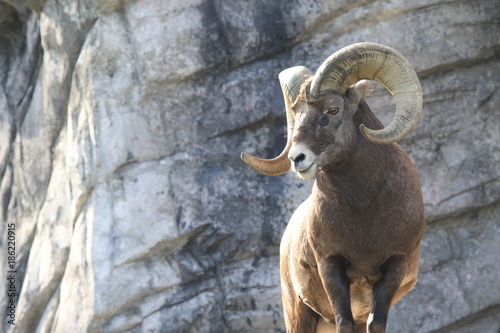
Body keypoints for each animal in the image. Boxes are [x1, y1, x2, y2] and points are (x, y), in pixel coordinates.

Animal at [242, 42, 426, 330]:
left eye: (332, 110)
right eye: (297, 114)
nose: (297, 158)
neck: (364, 211)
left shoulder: (395, 265)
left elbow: (376, 324)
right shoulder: (330, 266)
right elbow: (344, 323)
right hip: (298, 314)